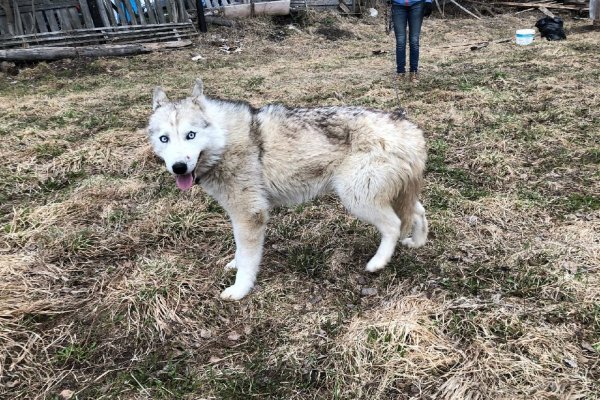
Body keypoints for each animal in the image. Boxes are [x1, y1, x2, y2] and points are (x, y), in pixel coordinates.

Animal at [148, 79, 428, 300]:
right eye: (164, 139)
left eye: (191, 135)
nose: (179, 167)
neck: (224, 141)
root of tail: (409, 128)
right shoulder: (238, 215)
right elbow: (239, 249)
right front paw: (234, 264)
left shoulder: (250, 215)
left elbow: (248, 260)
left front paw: (239, 290)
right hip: (389, 195)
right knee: (419, 212)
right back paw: (417, 242)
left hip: (357, 199)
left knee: (393, 225)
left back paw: (378, 263)